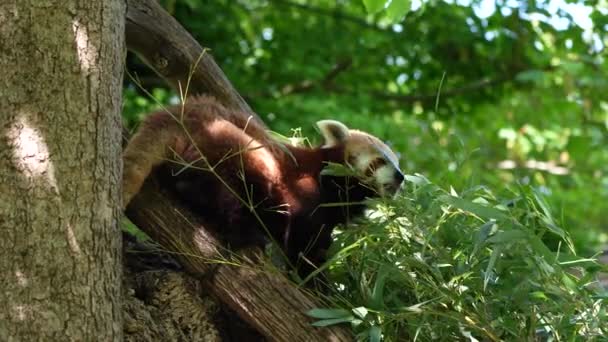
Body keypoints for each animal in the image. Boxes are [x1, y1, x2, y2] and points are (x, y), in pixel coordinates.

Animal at [122, 96, 404, 280]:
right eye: (380, 161)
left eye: (397, 162)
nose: (401, 177)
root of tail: (176, 114)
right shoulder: (305, 192)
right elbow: (303, 238)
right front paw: (312, 278)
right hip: (230, 144)